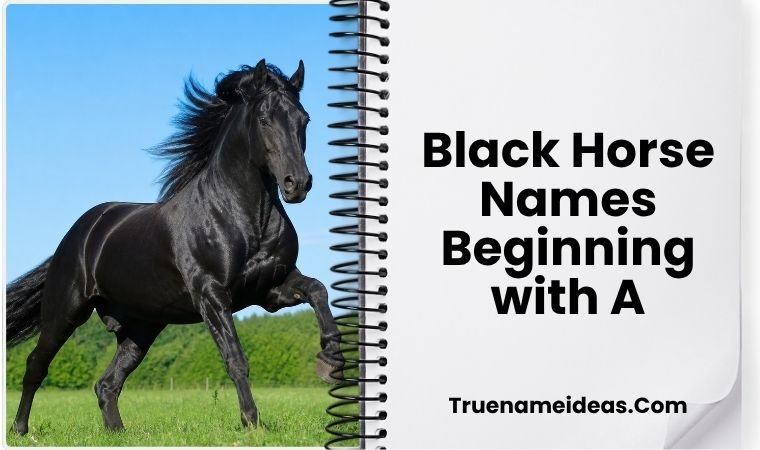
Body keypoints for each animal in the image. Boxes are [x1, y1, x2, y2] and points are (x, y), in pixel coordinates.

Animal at [5, 59, 343, 435]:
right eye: (264, 118)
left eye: (304, 119)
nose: (297, 184)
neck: (243, 216)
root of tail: (82, 232)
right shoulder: (212, 295)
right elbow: (235, 359)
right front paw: (253, 423)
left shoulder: (270, 289)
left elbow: (318, 290)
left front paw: (330, 360)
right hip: (65, 311)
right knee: (36, 365)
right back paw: (20, 430)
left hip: (142, 328)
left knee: (107, 383)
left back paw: (118, 433)